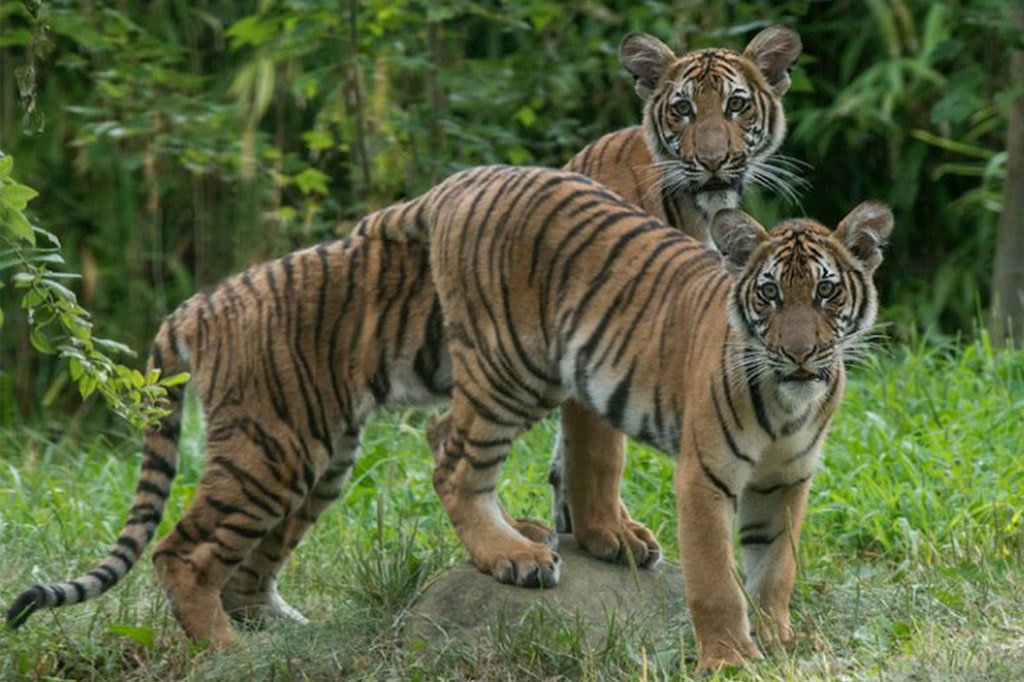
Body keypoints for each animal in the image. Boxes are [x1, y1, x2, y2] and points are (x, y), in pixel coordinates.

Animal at [4, 25, 803, 647]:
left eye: (736, 106)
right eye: (682, 109)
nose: (712, 159)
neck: (694, 207)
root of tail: (197, 305)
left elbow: (561, 464)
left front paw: (583, 530)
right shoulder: (603, 341)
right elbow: (595, 454)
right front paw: (611, 537)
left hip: (317, 453)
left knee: (252, 565)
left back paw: (286, 632)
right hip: (277, 444)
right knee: (186, 549)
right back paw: (225, 650)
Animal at [402, 165, 891, 669]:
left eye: (826, 291)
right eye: (769, 293)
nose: (798, 354)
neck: (787, 403)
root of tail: (467, 177)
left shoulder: (785, 480)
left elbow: (776, 568)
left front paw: (778, 640)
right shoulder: (704, 477)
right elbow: (715, 578)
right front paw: (729, 657)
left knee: (442, 431)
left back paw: (522, 534)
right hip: (512, 369)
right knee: (455, 469)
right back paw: (515, 554)